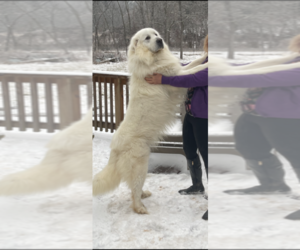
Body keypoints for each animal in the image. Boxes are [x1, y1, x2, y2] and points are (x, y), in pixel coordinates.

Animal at [92, 28, 207, 214]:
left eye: (156, 34)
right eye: (147, 38)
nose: (160, 40)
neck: (152, 58)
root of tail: (114, 148)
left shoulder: (177, 71)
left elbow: (194, 63)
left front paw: (205, 56)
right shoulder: (177, 77)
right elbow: (195, 70)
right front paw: (211, 64)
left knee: (134, 189)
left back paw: (144, 195)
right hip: (140, 167)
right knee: (133, 192)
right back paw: (140, 208)